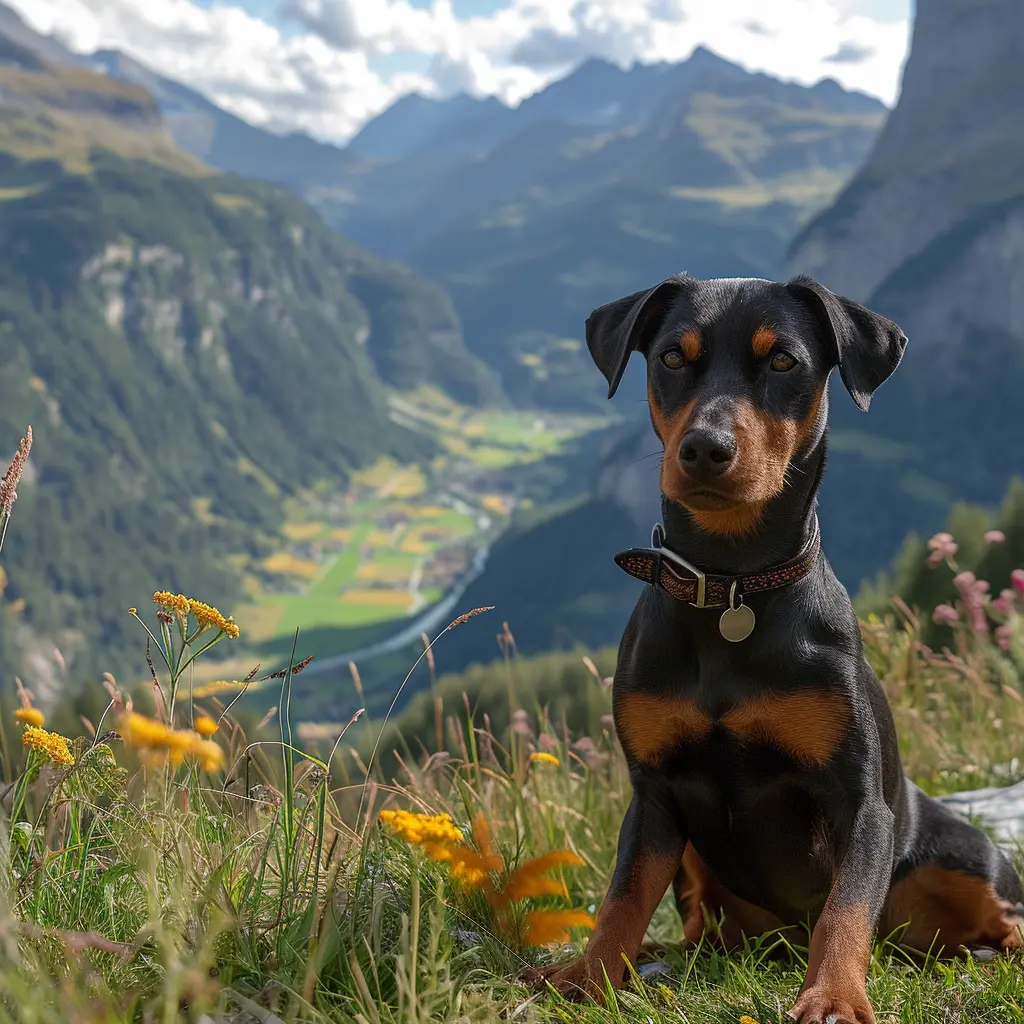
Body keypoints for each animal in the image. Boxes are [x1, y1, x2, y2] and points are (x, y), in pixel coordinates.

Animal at [532, 274, 1019, 1024]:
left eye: (784, 361)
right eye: (672, 357)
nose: (705, 448)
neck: (731, 586)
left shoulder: (859, 801)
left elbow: (844, 911)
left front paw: (834, 997)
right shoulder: (654, 794)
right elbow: (622, 896)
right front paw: (590, 974)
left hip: (957, 856)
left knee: (1001, 918)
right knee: (700, 924)